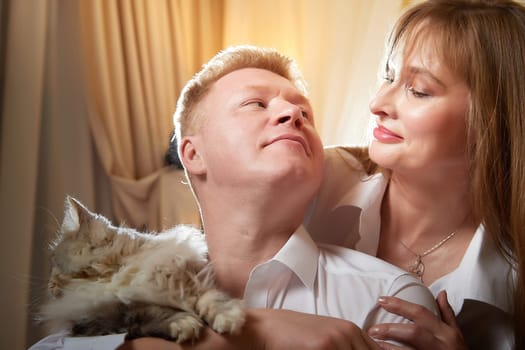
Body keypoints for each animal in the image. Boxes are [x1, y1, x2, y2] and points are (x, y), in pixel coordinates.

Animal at [40, 196, 245, 344]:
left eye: (54, 264)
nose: (48, 284)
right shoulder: (111, 316)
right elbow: (154, 311)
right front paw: (182, 323)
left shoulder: (193, 279)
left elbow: (213, 298)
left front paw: (229, 318)